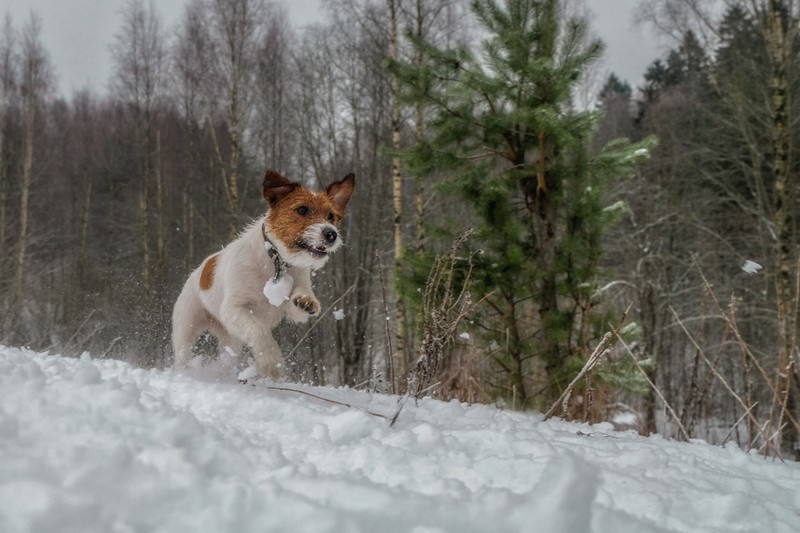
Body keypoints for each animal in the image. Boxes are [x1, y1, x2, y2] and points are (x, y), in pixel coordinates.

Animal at [173, 169, 354, 378]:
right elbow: (259, 331)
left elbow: (299, 300)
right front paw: (271, 362)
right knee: (182, 354)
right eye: (302, 210)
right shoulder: (234, 309)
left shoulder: (292, 304)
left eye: (331, 216)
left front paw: (306, 300)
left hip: (231, 339)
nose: (331, 234)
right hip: (186, 327)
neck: (275, 262)